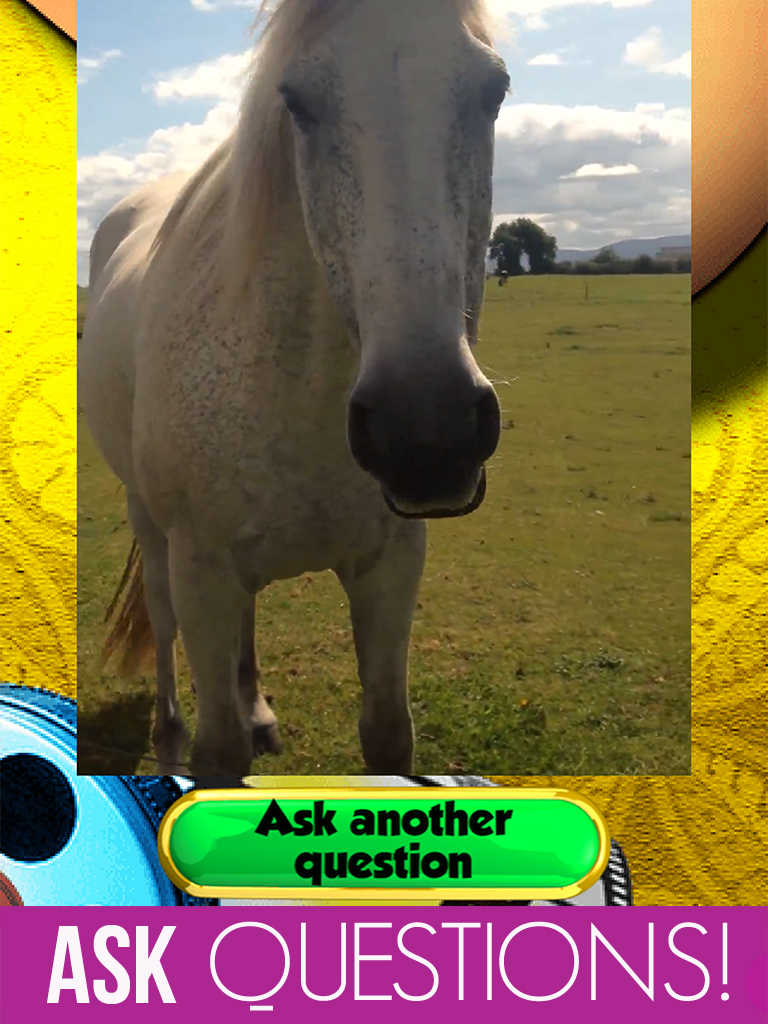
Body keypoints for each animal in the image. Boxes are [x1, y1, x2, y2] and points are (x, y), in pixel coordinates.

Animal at [79, 0, 509, 778]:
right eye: (298, 101)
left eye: (493, 91)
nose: (426, 432)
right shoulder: (202, 571)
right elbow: (218, 753)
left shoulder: (390, 566)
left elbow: (387, 735)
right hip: (151, 528)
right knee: (162, 623)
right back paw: (167, 738)